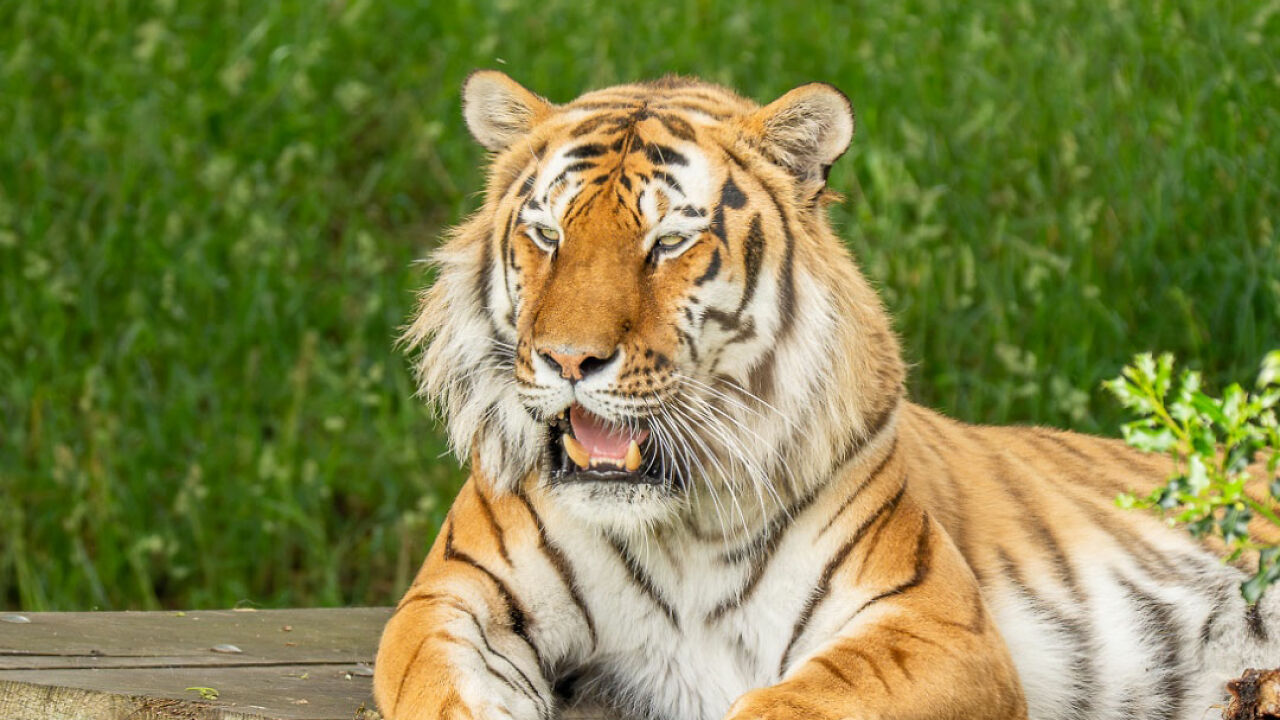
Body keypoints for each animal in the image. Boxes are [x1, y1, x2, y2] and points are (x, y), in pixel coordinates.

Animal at [373, 71, 1280, 720]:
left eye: (668, 242)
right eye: (547, 234)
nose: (568, 359)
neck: (676, 522)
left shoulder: (933, 625)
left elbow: (789, 706)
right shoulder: (451, 598)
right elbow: (437, 686)